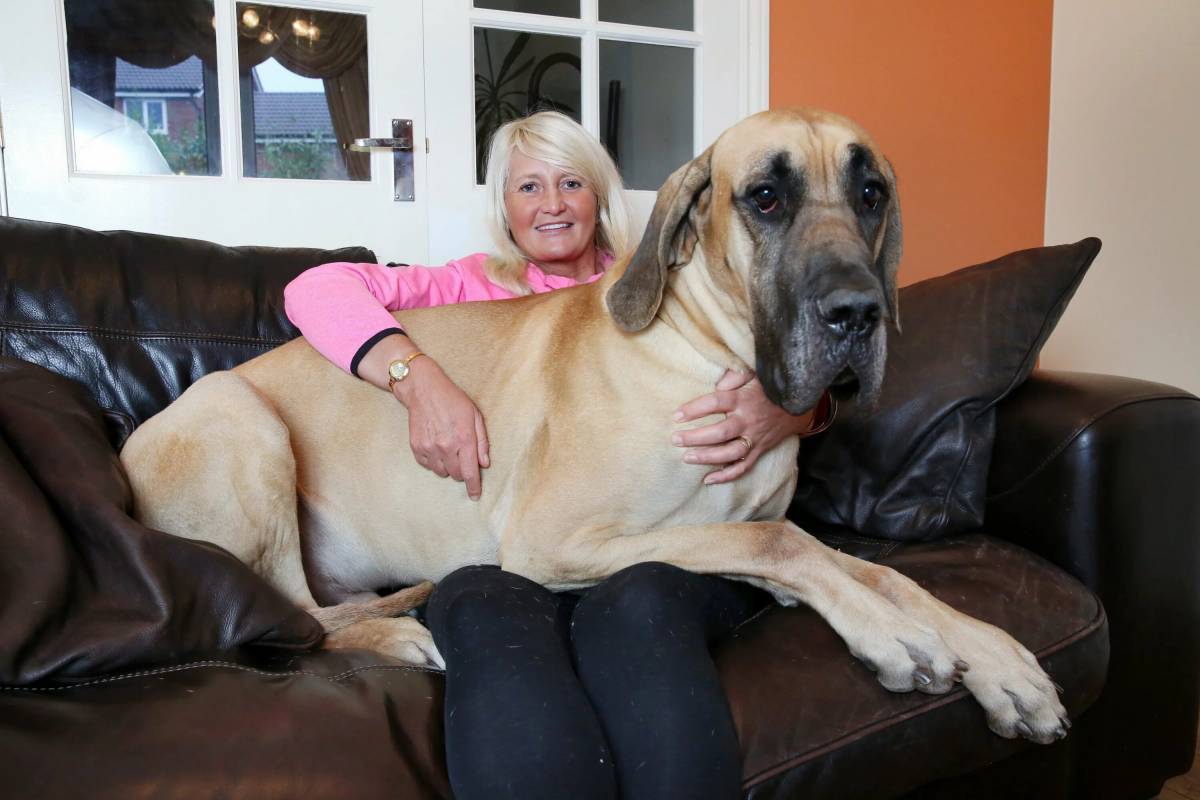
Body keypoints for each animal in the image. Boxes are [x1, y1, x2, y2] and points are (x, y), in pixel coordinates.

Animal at [119, 107, 1070, 743]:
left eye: (871, 194)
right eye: (765, 197)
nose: (858, 313)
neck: (705, 351)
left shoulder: (731, 531)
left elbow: (862, 566)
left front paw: (994, 658)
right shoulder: (554, 538)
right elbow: (781, 545)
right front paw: (897, 635)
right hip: (240, 415)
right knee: (300, 616)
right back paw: (400, 629)